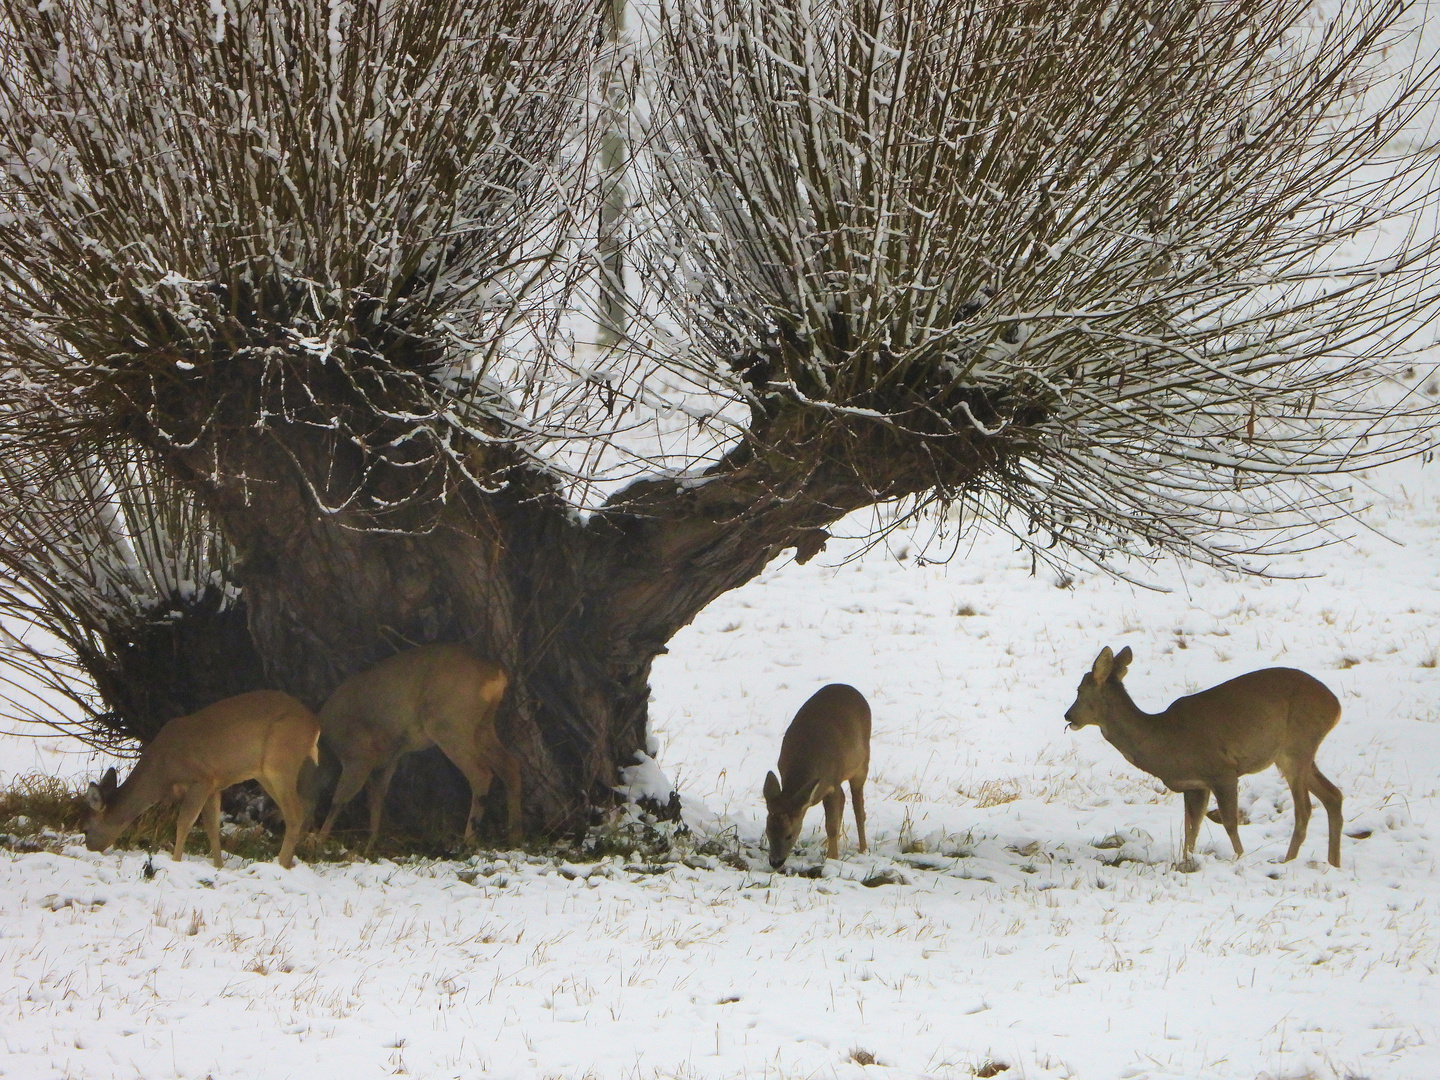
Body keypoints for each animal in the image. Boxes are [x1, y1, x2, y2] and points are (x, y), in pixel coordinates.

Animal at [82, 694, 319, 869]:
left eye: (86, 828)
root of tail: (314, 726)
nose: (89, 847)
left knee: (295, 812)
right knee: (304, 806)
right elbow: (212, 826)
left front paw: (175, 861)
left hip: (279, 762)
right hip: (264, 772)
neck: (163, 771)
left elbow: (184, 822)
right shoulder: (214, 785)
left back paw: (281, 864)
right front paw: (219, 866)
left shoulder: (201, 778)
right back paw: (288, 862)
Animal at [316, 642, 524, 852]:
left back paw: (469, 840)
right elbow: (376, 801)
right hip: (482, 724)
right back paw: (514, 837)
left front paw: (317, 842)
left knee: (481, 772)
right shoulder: (387, 760)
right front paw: (370, 846)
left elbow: (339, 800)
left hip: (447, 722)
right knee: (510, 766)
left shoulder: (358, 755)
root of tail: (495, 672)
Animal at [760, 685, 869, 869]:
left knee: (859, 808)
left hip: (862, 764)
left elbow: (831, 825)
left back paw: (863, 850)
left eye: (789, 835)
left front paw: (832, 858)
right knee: (844, 799)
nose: (775, 862)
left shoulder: (832, 781)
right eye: (768, 831)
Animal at [1065, 648, 1342, 869]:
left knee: (1305, 809)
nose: (1068, 716)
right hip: (1295, 754)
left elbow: (1229, 822)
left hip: (1297, 745)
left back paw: (1288, 862)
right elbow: (1191, 829)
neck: (1162, 740)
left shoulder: (1222, 770)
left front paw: (1240, 859)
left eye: (1079, 690)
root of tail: (1336, 706)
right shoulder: (1195, 786)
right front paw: (1187, 862)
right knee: (1333, 795)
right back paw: (1333, 863)